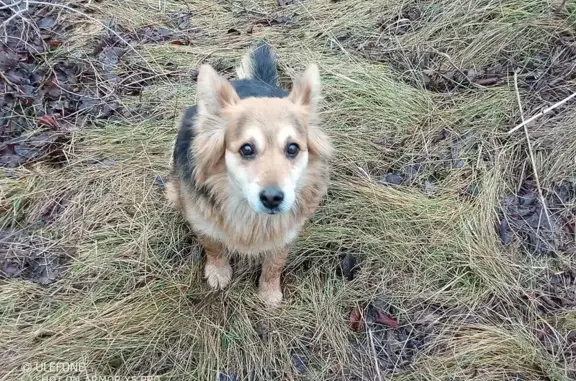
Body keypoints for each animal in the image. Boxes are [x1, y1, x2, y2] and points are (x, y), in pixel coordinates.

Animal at [164, 41, 330, 304]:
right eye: (247, 149)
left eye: (293, 148)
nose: (272, 198)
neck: (250, 216)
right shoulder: (201, 220)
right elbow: (213, 246)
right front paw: (218, 272)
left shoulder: (286, 233)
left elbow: (275, 262)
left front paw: (269, 292)